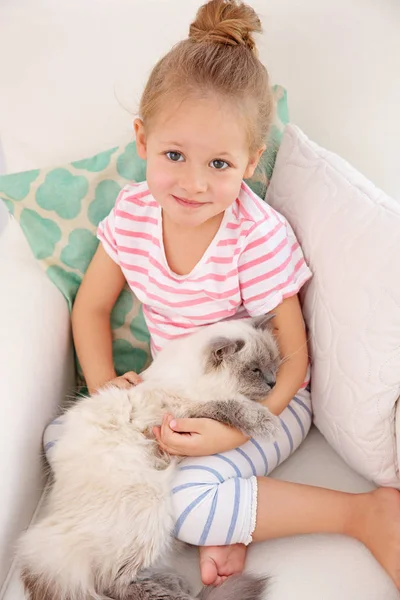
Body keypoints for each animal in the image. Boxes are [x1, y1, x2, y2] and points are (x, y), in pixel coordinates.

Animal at [18, 316, 280, 596]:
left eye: (273, 362)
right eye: (255, 370)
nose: (274, 382)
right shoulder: (187, 409)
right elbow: (235, 407)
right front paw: (268, 423)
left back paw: (177, 578)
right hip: (149, 508)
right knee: (115, 584)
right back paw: (179, 592)